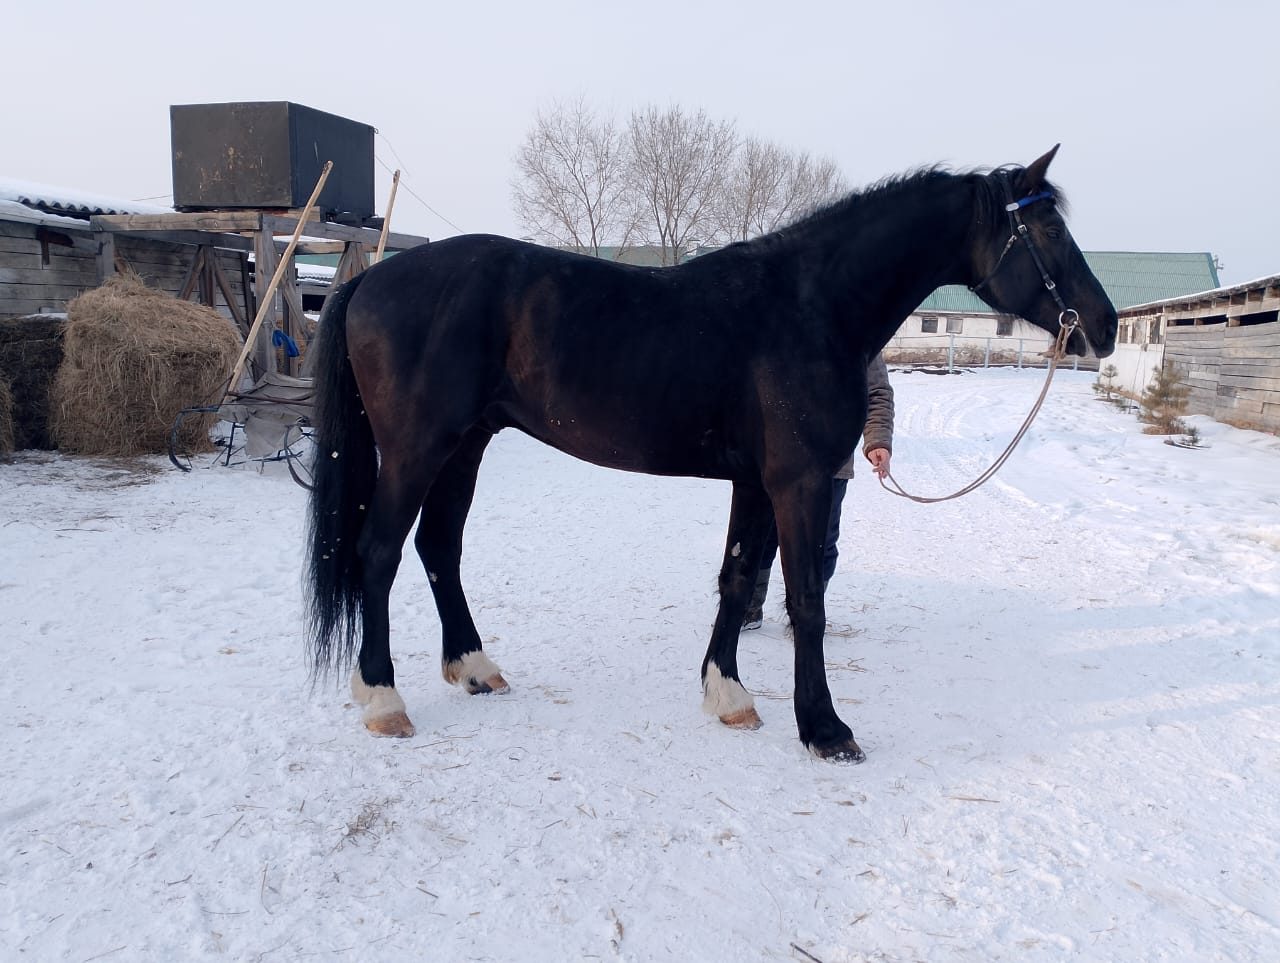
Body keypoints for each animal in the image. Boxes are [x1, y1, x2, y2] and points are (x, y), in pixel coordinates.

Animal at [305, 145, 1117, 762]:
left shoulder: (756, 483)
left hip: (465, 446)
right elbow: (806, 598)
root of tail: (370, 278)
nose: (1103, 327)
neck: (809, 307)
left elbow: (737, 580)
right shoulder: (797, 482)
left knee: (439, 547)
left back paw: (475, 669)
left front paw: (729, 696)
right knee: (379, 551)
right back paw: (382, 697)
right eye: (1044, 229)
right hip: (417, 448)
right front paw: (826, 729)